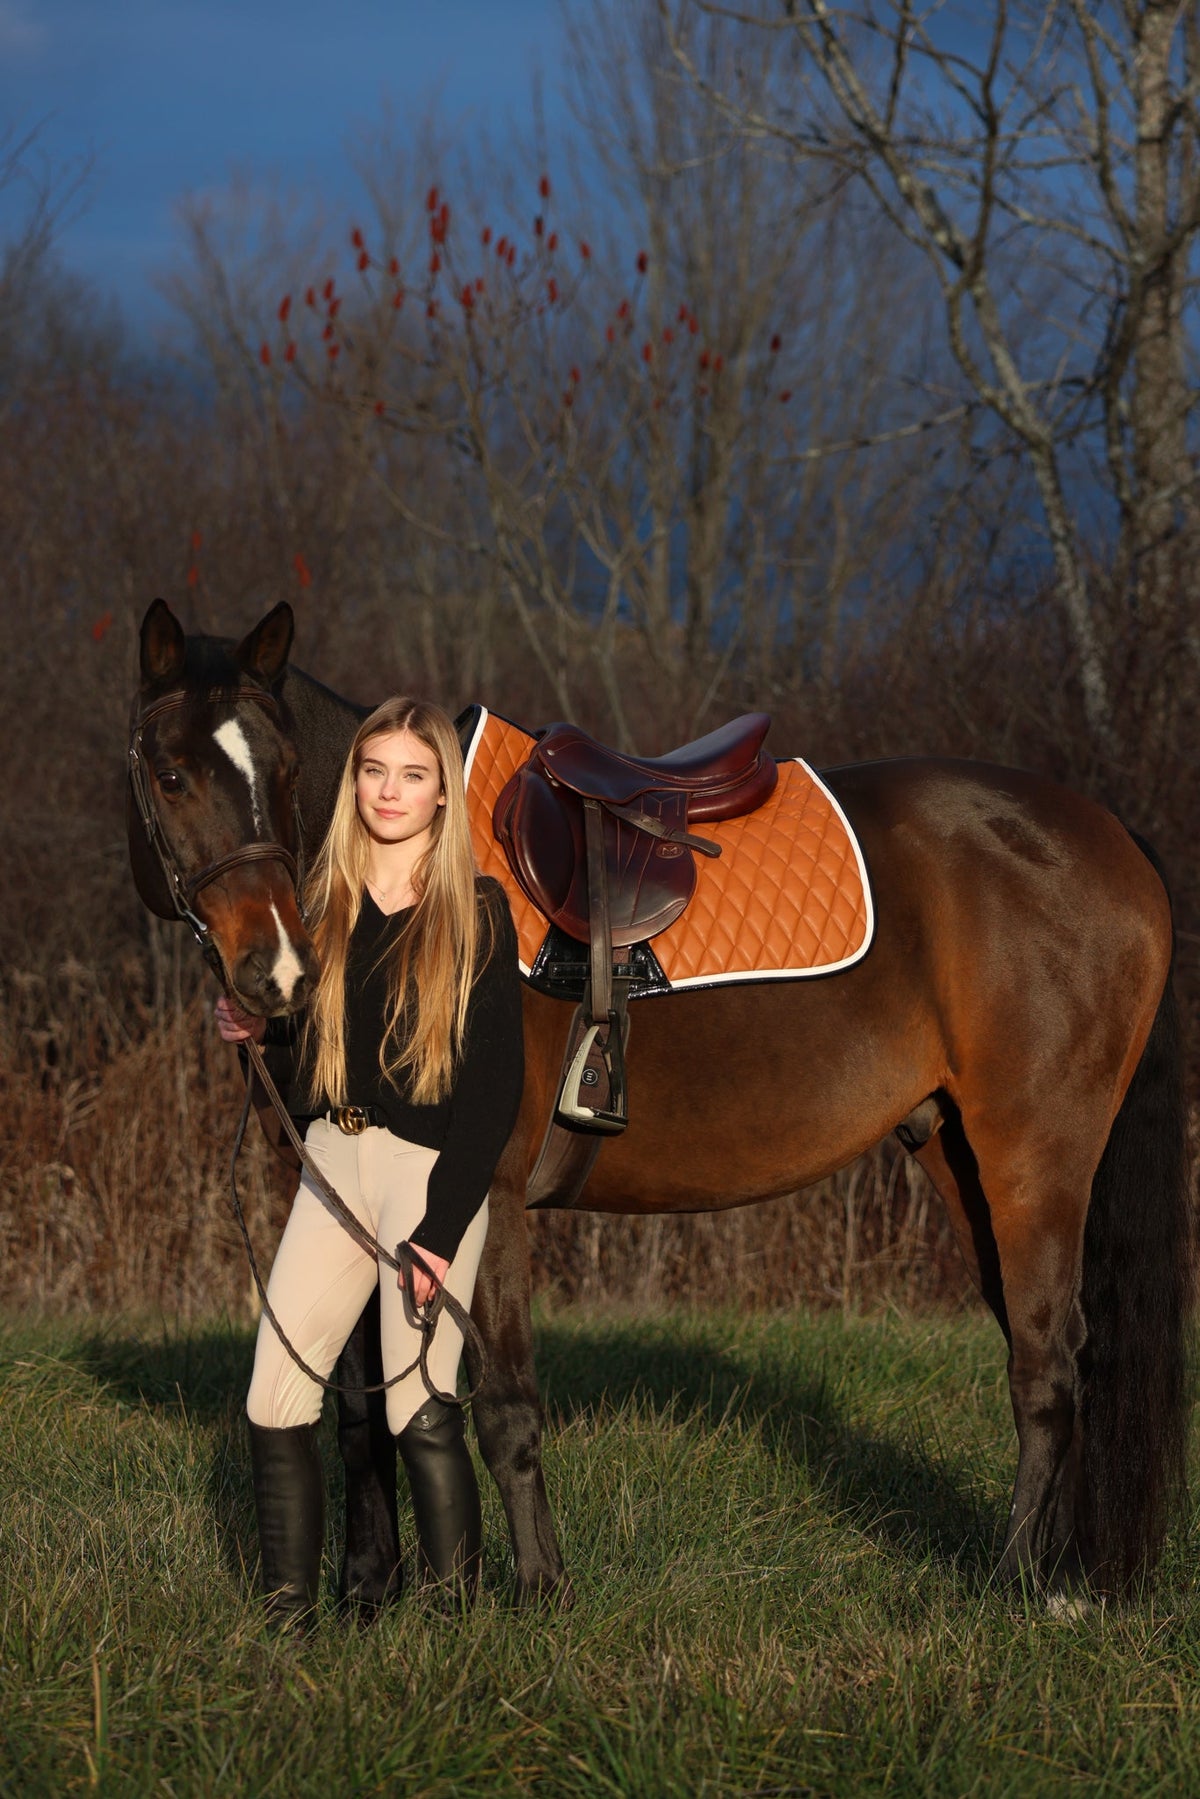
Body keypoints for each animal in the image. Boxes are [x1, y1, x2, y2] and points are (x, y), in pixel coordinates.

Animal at [127, 597, 1193, 1607]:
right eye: (171, 775)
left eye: (282, 766)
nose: (274, 968)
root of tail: (1109, 835)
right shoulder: (339, 1191)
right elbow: (355, 1408)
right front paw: (365, 1590)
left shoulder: (483, 1195)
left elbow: (503, 1405)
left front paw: (539, 1592)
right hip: (961, 1155)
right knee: (1051, 1347)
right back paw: (1061, 1576)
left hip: (1035, 1158)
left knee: (1047, 1364)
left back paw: (1016, 1583)